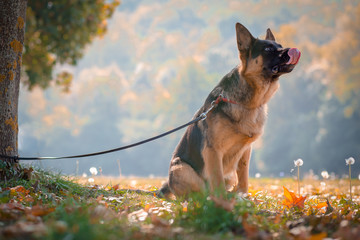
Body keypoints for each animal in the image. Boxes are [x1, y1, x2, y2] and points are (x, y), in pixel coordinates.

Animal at [158, 22, 300, 199]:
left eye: (280, 46)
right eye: (267, 49)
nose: (291, 50)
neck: (248, 104)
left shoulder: (245, 150)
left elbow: (244, 176)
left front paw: (243, 196)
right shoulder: (213, 151)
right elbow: (217, 178)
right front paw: (223, 201)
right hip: (181, 168)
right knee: (200, 192)